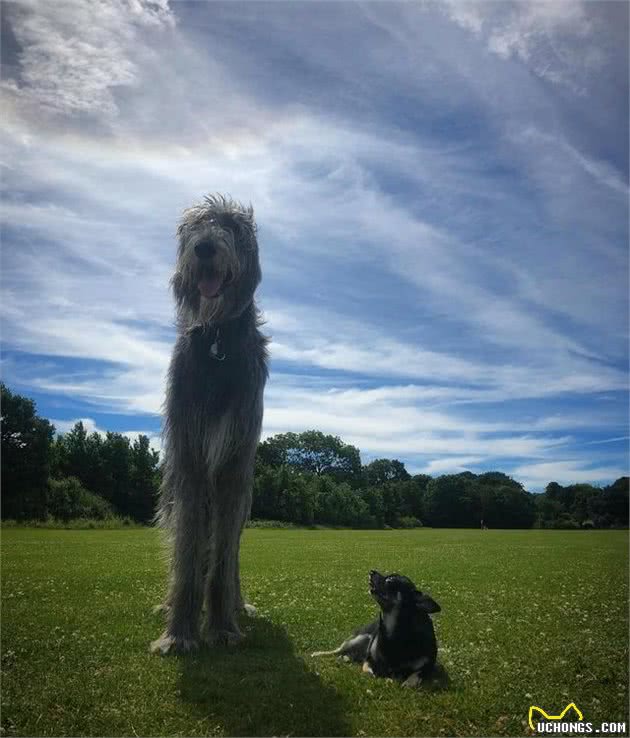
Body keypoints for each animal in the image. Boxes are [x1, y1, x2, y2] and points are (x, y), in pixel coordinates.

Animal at [152, 193, 268, 652]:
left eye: (232, 228)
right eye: (193, 228)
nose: (204, 249)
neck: (217, 338)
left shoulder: (234, 464)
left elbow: (221, 558)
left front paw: (221, 626)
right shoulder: (188, 457)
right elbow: (186, 552)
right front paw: (179, 633)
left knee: (229, 549)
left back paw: (236, 605)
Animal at [314, 568, 442, 684]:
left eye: (390, 580)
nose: (371, 571)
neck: (396, 633)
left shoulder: (427, 667)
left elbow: (416, 675)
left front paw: (408, 682)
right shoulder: (368, 659)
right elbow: (368, 669)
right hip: (358, 638)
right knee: (337, 650)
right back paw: (319, 653)